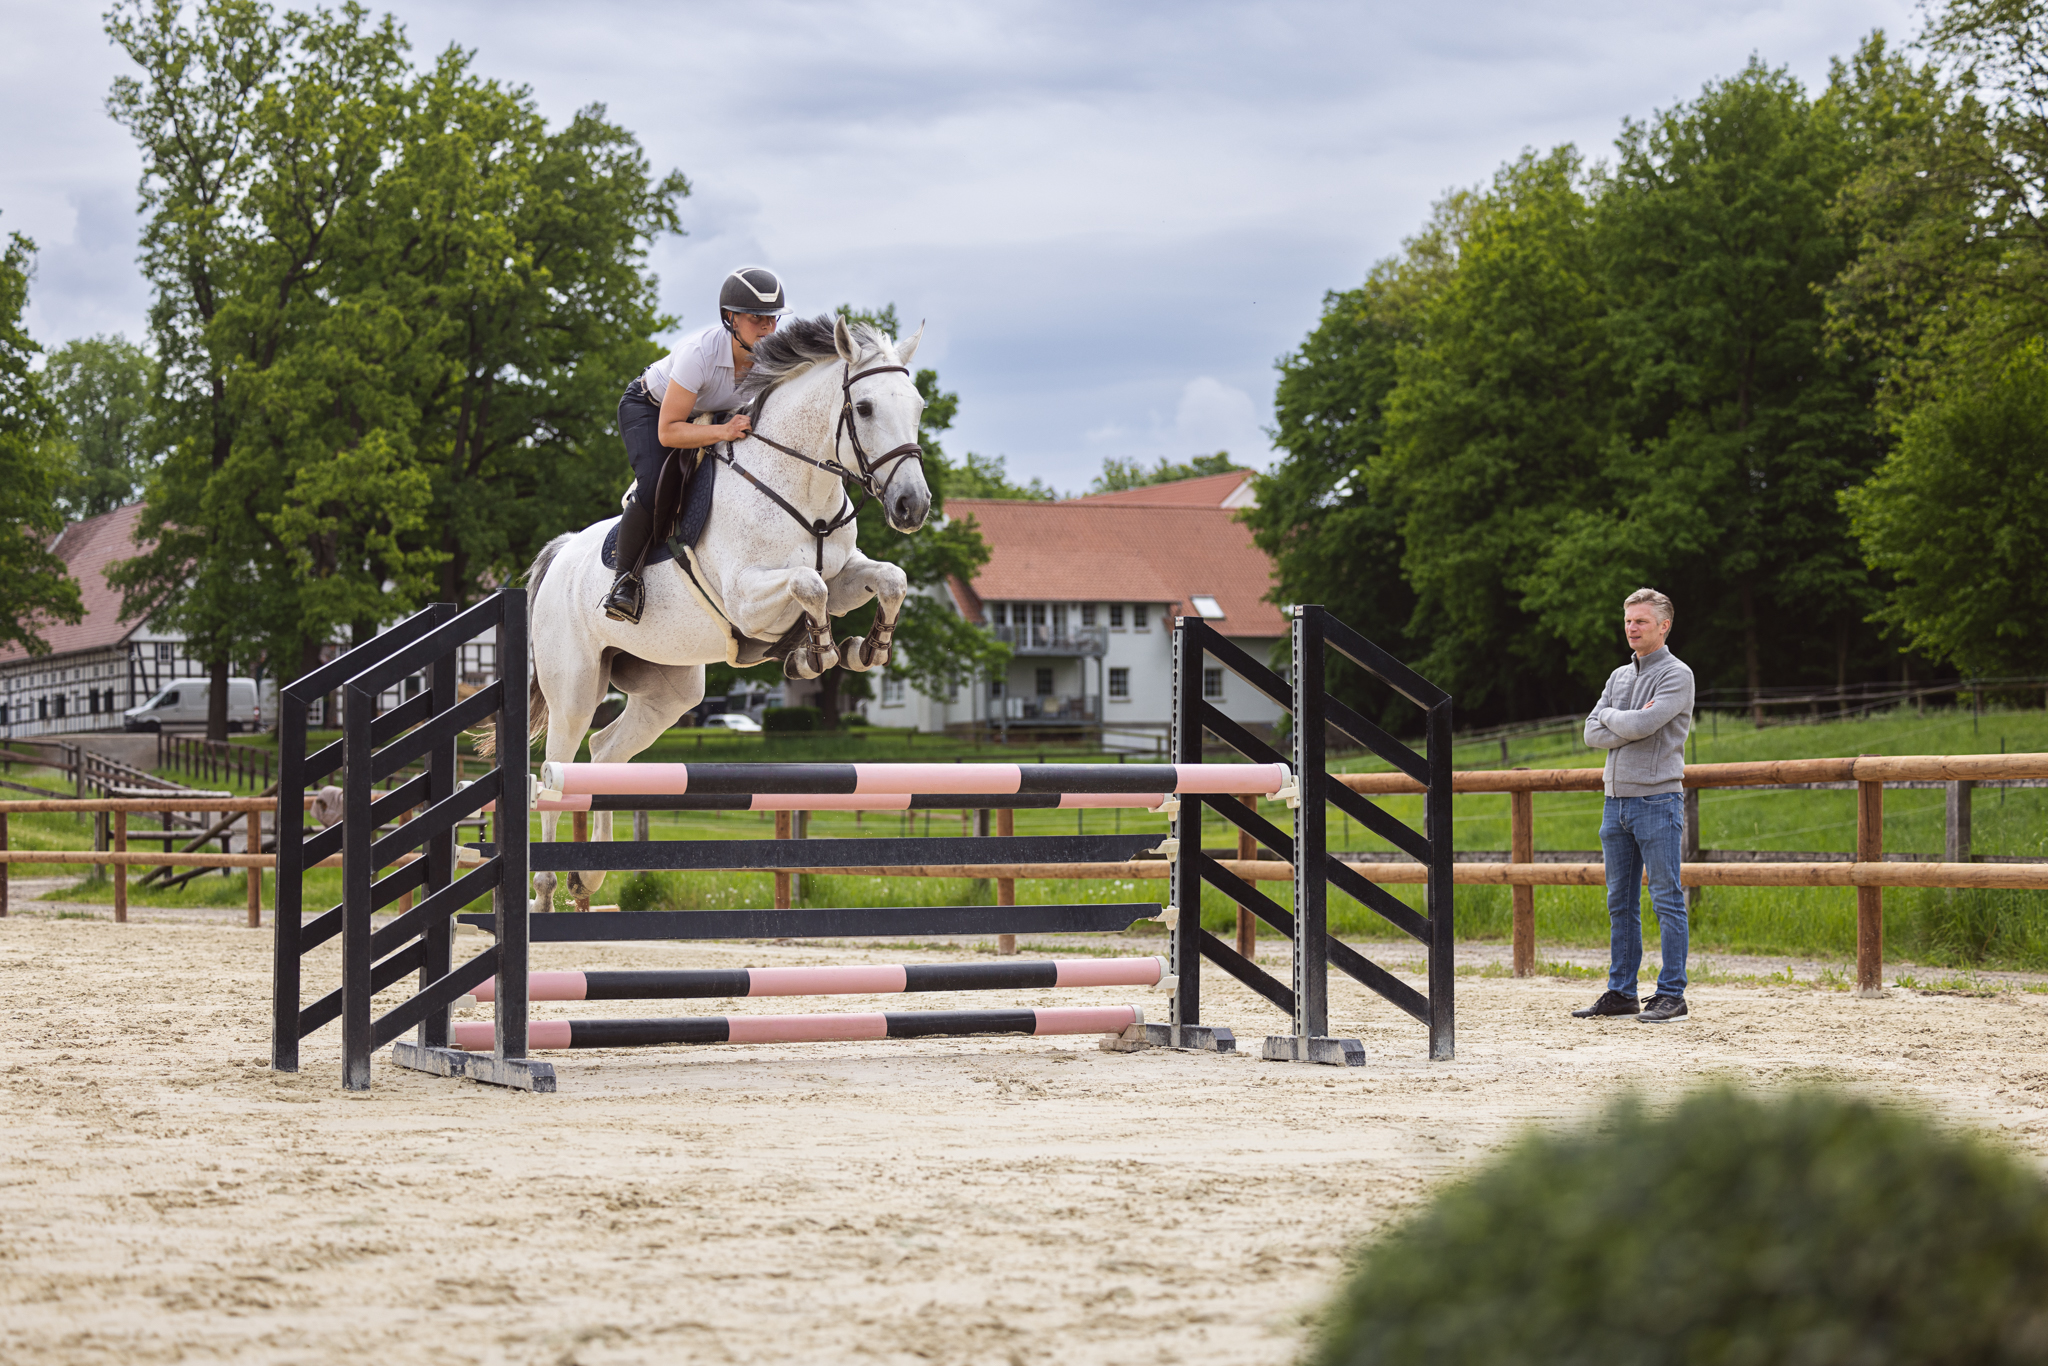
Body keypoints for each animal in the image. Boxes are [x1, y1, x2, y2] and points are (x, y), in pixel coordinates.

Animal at [507, 317, 933, 913]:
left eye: (917, 406)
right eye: (866, 408)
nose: (912, 507)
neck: (803, 487)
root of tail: (563, 551)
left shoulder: (845, 575)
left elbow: (889, 578)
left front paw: (865, 648)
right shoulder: (747, 598)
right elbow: (807, 586)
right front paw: (818, 652)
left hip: (669, 691)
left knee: (603, 751)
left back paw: (587, 876)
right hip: (573, 688)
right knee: (555, 769)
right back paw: (545, 890)